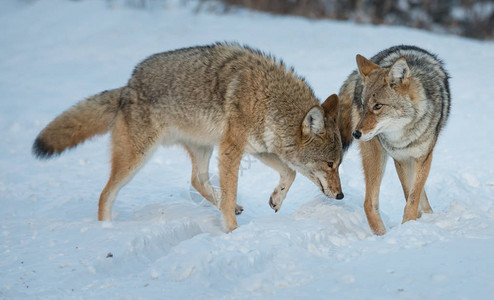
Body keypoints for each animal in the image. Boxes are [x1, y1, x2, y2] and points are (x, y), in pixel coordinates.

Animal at [32, 42, 346, 232]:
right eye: (331, 164)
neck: (269, 100)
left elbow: (289, 173)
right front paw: (232, 231)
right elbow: (233, 189)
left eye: (339, 164)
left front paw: (276, 200)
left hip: (202, 147)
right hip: (138, 157)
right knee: (105, 194)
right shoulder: (232, 148)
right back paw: (105, 231)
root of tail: (128, 85)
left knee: (196, 180)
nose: (341, 195)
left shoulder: (259, 148)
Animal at [338, 45, 450, 236]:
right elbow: (409, 195)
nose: (356, 133)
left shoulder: (422, 157)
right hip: (375, 154)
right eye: (364, 105)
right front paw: (410, 226)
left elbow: (413, 197)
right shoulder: (401, 160)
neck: (404, 135)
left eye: (378, 106)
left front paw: (412, 223)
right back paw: (382, 235)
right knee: (368, 202)